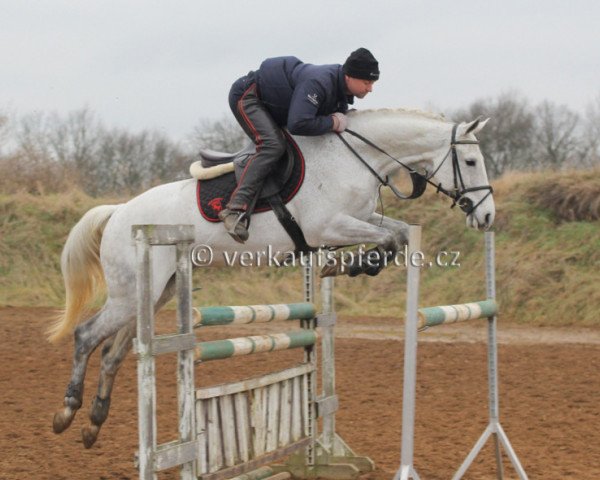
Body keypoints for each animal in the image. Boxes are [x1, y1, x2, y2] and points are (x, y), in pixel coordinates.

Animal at [50, 108, 492, 446]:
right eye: (471, 162)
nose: (487, 217)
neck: (355, 158)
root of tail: (119, 211)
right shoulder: (329, 226)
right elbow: (386, 237)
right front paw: (348, 264)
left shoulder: (360, 217)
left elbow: (397, 234)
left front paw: (353, 264)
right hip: (128, 294)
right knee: (86, 336)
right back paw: (67, 412)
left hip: (157, 292)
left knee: (114, 353)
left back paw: (93, 424)